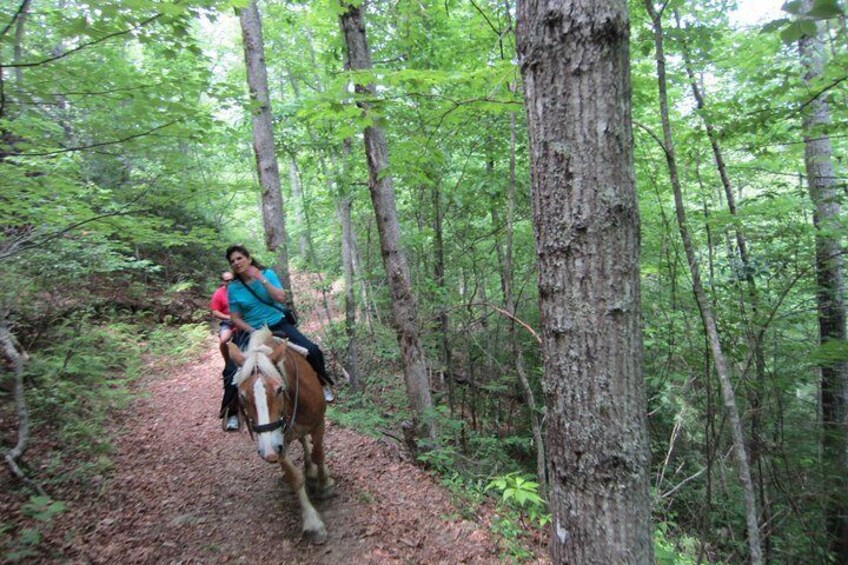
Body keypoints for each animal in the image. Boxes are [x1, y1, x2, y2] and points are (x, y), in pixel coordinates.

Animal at [229, 326, 334, 540]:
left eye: (279, 389)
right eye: (242, 396)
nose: (268, 451)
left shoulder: (318, 424)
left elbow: (319, 455)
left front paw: (324, 484)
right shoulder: (278, 442)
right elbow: (295, 477)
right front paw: (312, 522)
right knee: (301, 441)